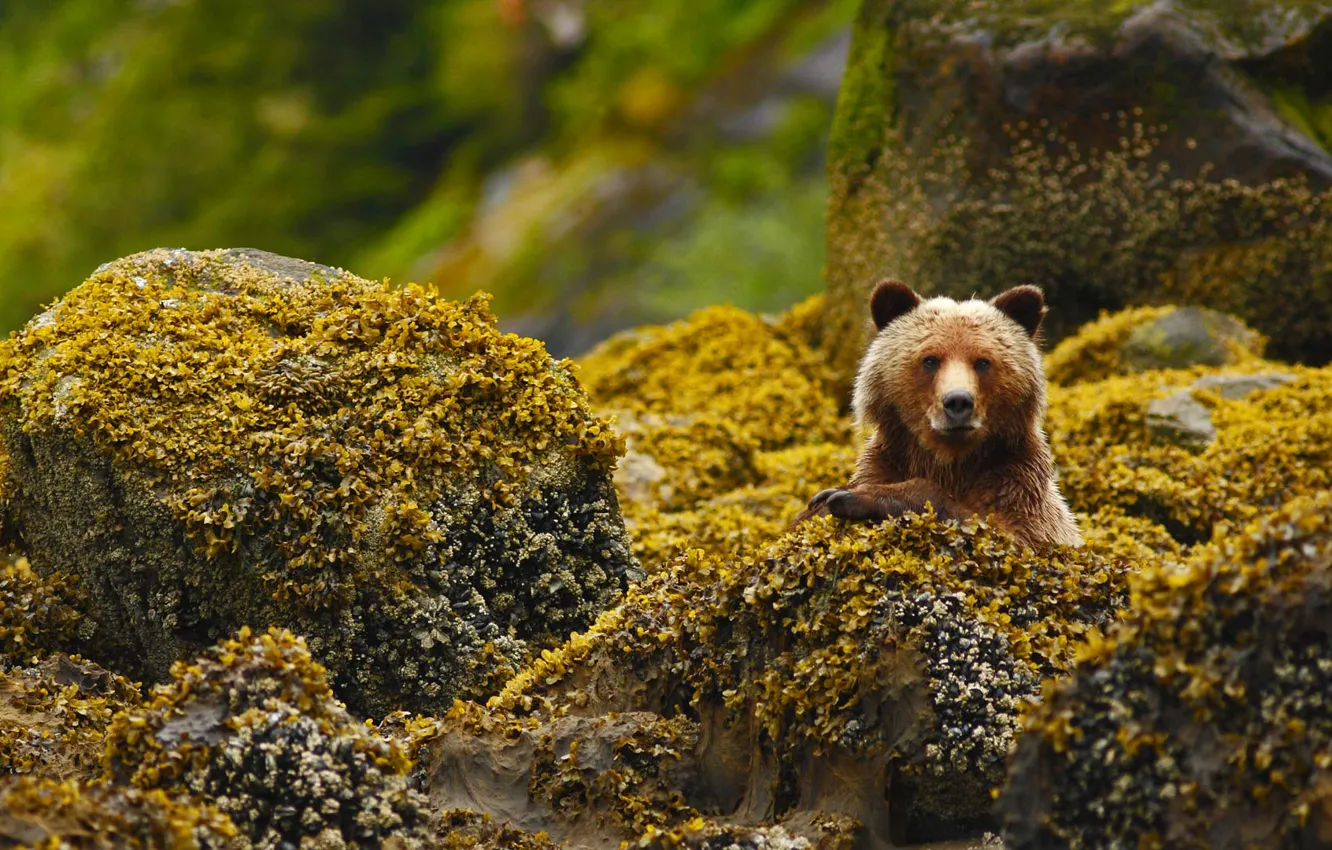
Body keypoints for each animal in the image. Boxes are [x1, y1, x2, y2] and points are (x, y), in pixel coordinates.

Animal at [788, 277, 1081, 548]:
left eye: (982, 361)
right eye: (930, 359)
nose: (958, 401)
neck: (950, 461)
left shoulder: (1019, 486)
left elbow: (1001, 531)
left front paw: (847, 497)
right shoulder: (888, 460)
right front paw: (822, 500)